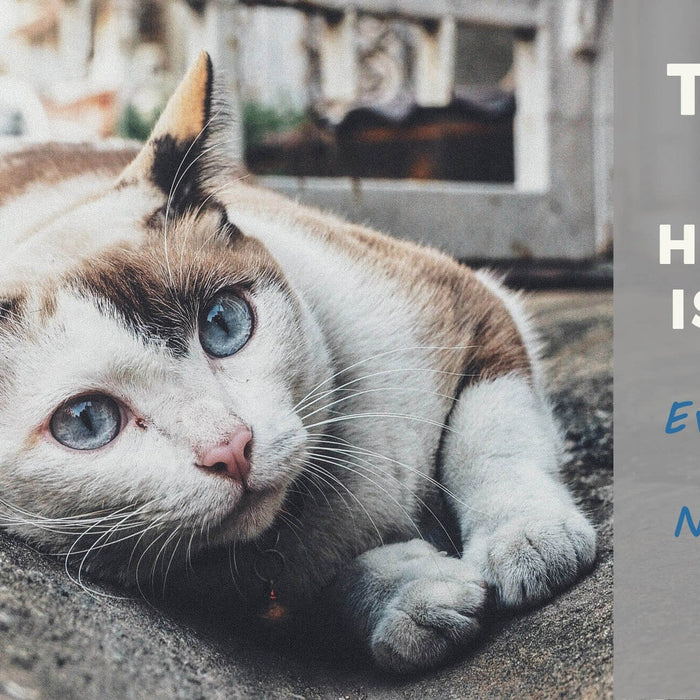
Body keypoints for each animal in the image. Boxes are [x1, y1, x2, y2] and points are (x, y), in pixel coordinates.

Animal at [0, 53, 596, 672]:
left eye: (223, 324)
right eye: (87, 421)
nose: (231, 448)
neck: (313, 505)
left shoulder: (470, 302)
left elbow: (487, 439)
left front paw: (527, 540)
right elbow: (327, 585)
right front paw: (410, 600)